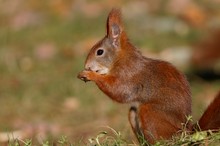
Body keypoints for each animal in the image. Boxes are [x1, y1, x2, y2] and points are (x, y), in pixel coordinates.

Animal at [77, 8, 220, 144]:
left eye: (99, 52)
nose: (87, 65)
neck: (120, 59)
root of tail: (186, 133)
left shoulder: (129, 73)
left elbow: (120, 91)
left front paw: (89, 75)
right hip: (134, 114)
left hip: (150, 112)